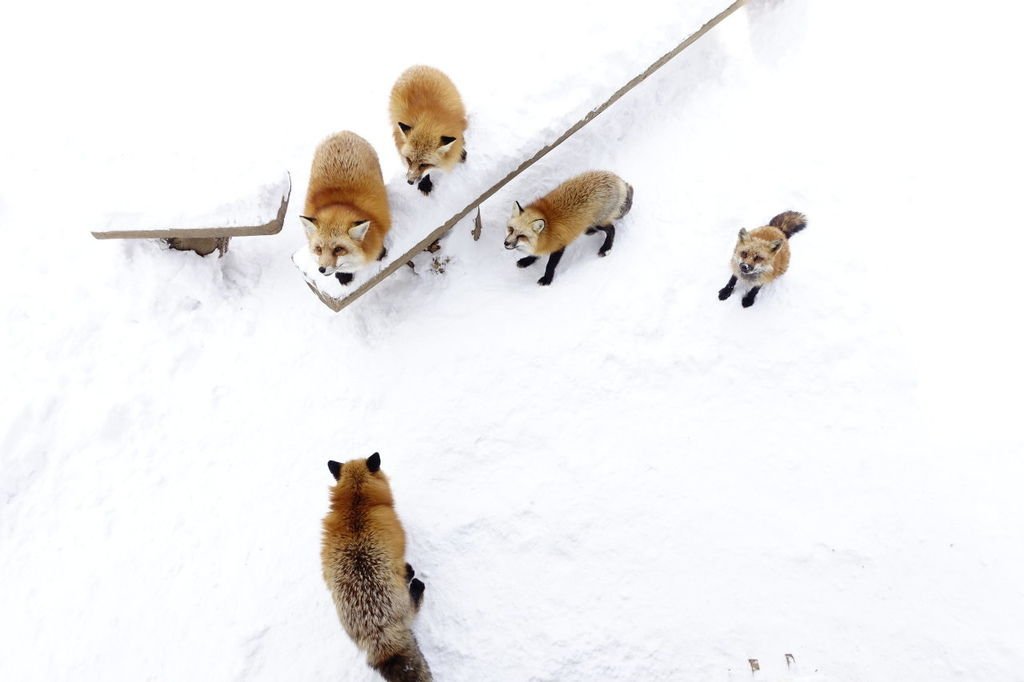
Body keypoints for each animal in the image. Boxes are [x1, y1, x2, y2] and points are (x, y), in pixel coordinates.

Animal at [301, 131, 389, 284]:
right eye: (318, 249)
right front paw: (343, 274)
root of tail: (342, 132)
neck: (340, 202)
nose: (321, 269)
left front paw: (380, 253)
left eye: (338, 249)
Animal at [319, 450, 432, 679]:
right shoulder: (398, 549)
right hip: (404, 603)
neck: (356, 505)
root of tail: (378, 630)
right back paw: (416, 585)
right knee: (415, 605)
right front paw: (409, 571)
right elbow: (404, 566)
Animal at [389, 64, 468, 193]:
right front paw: (425, 183)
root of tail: (415, 66)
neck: (428, 120)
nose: (410, 182)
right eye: (409, 160)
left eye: (424, 165)